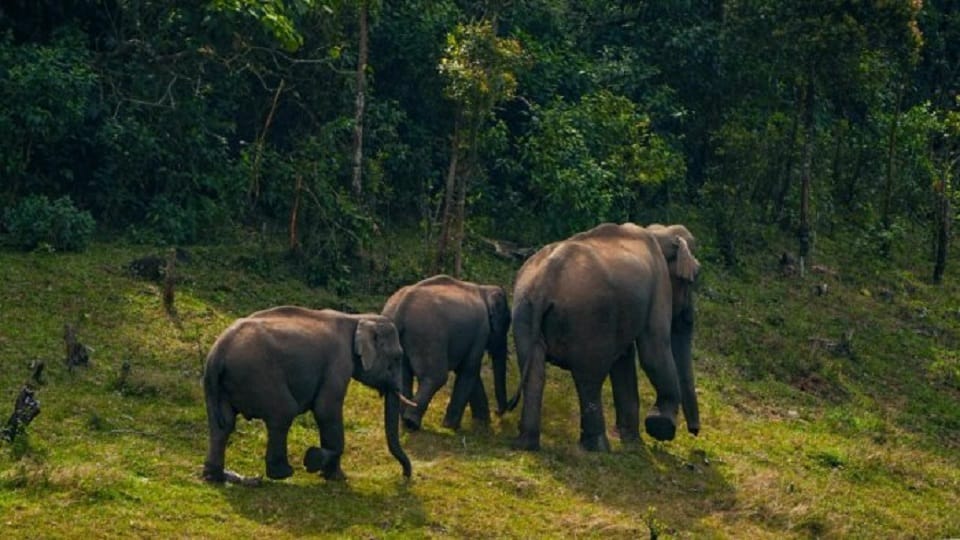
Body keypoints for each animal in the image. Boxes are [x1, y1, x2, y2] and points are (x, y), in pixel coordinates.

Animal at [201, 306, 413, 482]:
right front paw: (325, 468)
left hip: (219, 385)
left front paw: (326, 470)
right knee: (283, 413)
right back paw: (283, 473)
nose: (405, 476)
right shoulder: (338, 362)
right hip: (258, 374)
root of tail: (217, 353)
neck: (357, 319)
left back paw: (216, 477)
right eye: (397, 357)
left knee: (223, 425)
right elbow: (326, 410)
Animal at [381, 275, 511, 431]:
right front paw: (451, 427)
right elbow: (469, 369)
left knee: (403, 376)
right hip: (429, 336)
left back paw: (404, 422)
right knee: (437, 377)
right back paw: (411, 422)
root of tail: (401, 307)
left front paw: (482, 423)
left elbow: (468, 372)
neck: (485, 289)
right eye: (506, 324)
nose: (498, 412)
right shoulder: (482, 331)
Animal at [505, 222, 701, 451]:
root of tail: (546, 279)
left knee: (534, 371)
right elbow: (654, 349)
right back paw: (598, 448)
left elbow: (624, 359)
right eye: (693, 278)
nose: (694, 431)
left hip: (523, 308)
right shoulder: (659, 285)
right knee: (589, 378)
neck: (659, 232)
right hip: (589, 317)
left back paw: (526, 444)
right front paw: (660, 427)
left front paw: (634, 444)